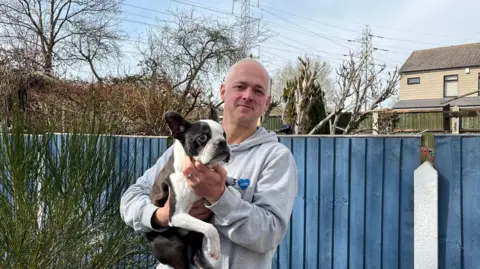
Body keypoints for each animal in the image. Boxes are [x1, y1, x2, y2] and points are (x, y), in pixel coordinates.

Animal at [145, 111, 237, 268]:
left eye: (224, 135)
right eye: (202, 137)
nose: (222, 142)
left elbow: (232, 190)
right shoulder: (177, 215)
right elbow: (210, 228)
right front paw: (215, 248)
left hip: (194, 236)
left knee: (195, 255)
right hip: (173, 246)